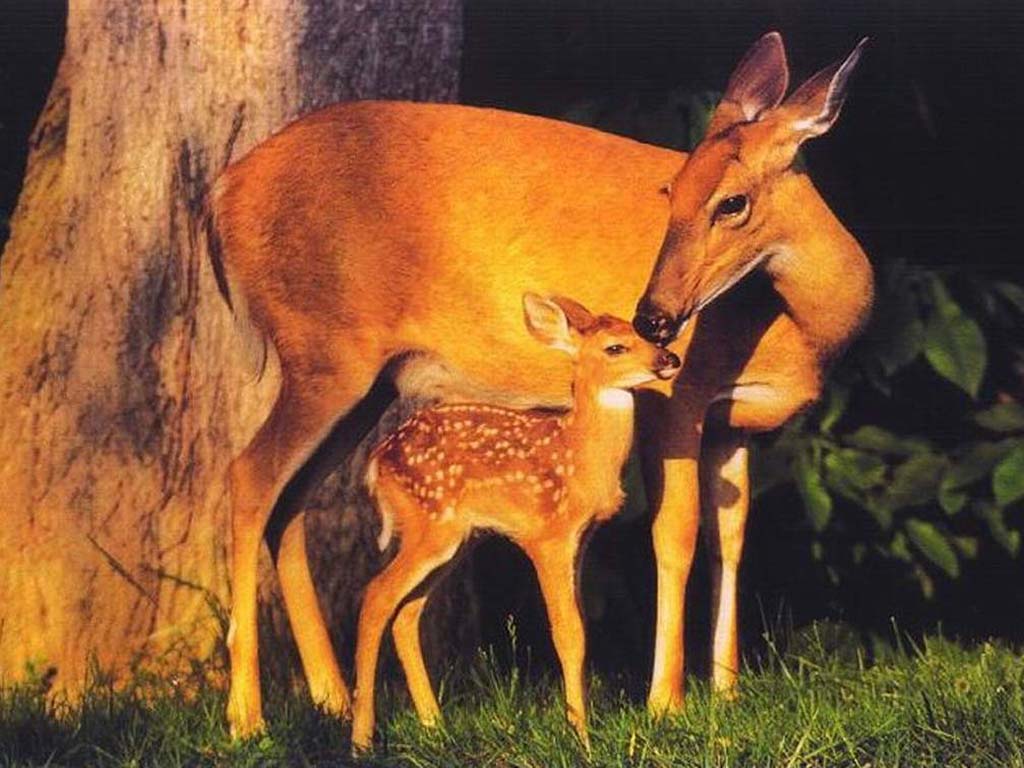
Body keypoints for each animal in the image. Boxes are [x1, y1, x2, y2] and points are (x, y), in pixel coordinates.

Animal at [350, 294, 681, 750]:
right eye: (615, 347)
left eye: (646, 334)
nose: (670, 359)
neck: (580, 459)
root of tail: (377, 462)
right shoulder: (546, 536)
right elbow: (568, 632)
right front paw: (580, 734)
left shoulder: (581, 540)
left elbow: (581, 628)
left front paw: (581, 722)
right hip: (429, 524)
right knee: (377, 595)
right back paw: (361, 738)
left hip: (457, 538)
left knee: (407, 612)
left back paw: (435, 725)